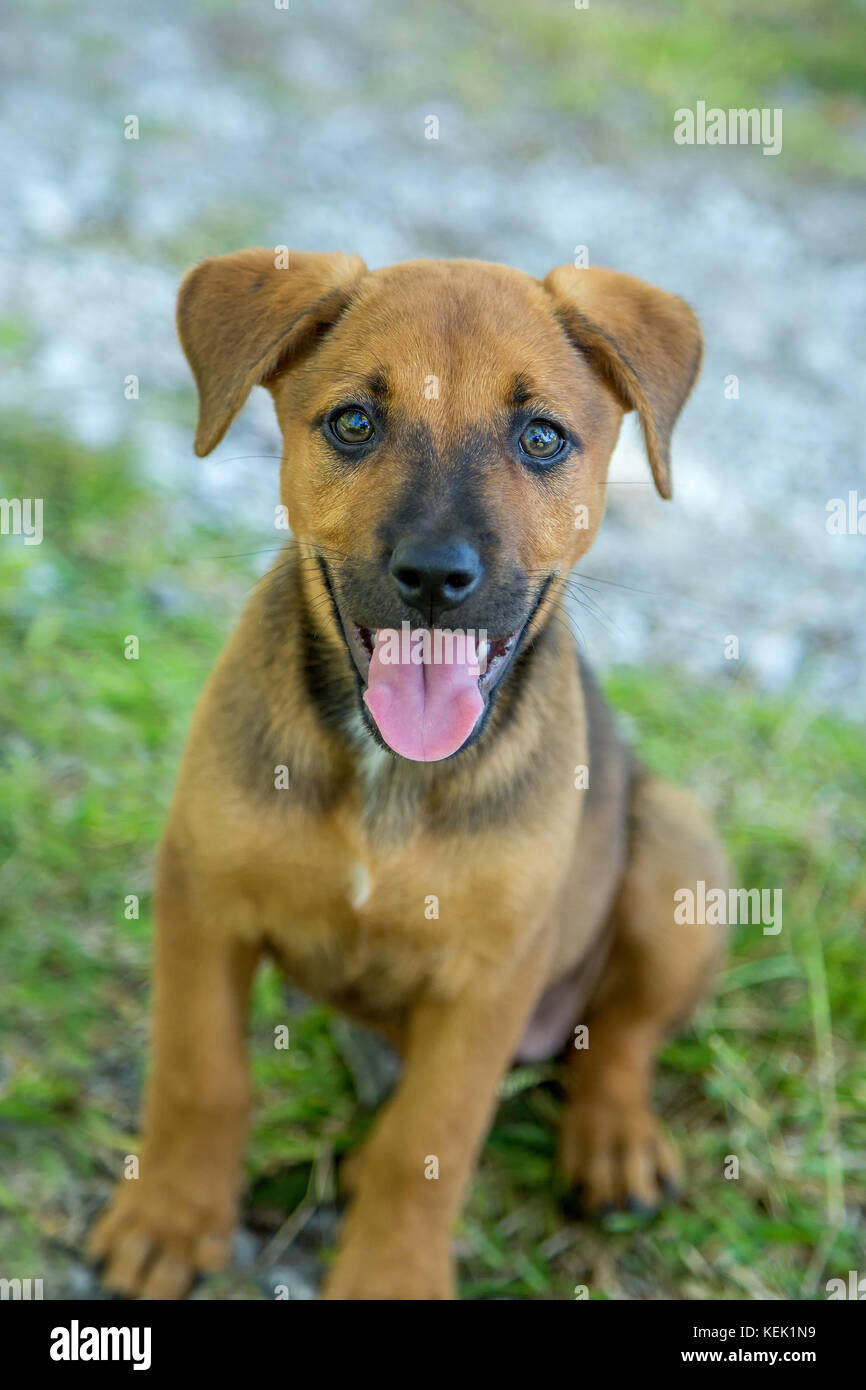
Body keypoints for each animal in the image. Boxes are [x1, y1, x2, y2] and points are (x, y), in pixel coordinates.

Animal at [88, 252, 728, 1301]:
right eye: (354, 422)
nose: (434, 576)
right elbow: (199, 1074)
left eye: (541, 438)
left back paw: (616, 1141)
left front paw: (389, 1272)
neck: (390, 774)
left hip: (679, 848)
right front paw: (172, 1219)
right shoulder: (201, 898)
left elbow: (429, 1146)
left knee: (624, 1035)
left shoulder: (489, 982)